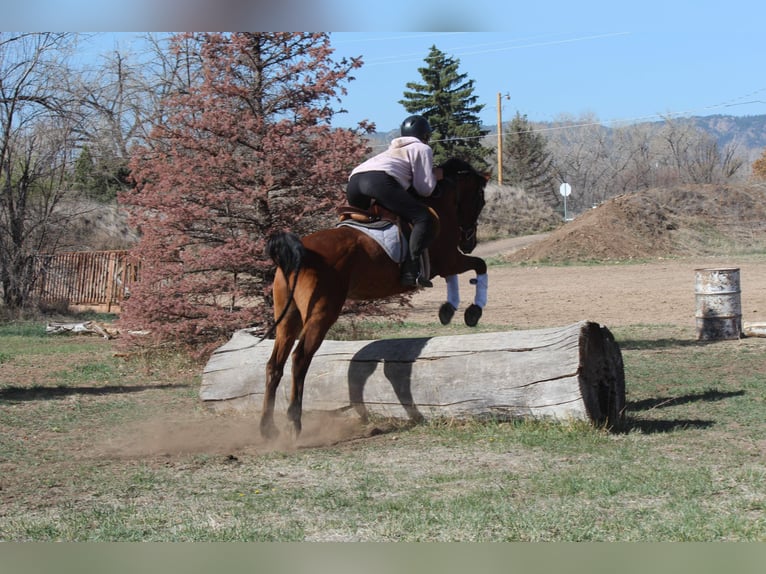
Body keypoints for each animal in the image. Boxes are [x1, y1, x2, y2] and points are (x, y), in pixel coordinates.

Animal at [260, 157, 489, 439]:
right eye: (480, 199)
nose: (469, 242)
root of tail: (301, 252)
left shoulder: (449, 263)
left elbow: (466, 273)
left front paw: (448, 310)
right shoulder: (449, 261)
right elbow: (480, 266)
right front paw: (471, 312)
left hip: (288, 316)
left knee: (274, 365)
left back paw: (268, 428)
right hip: (321, 313)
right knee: (300, 359)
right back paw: (294, 423)